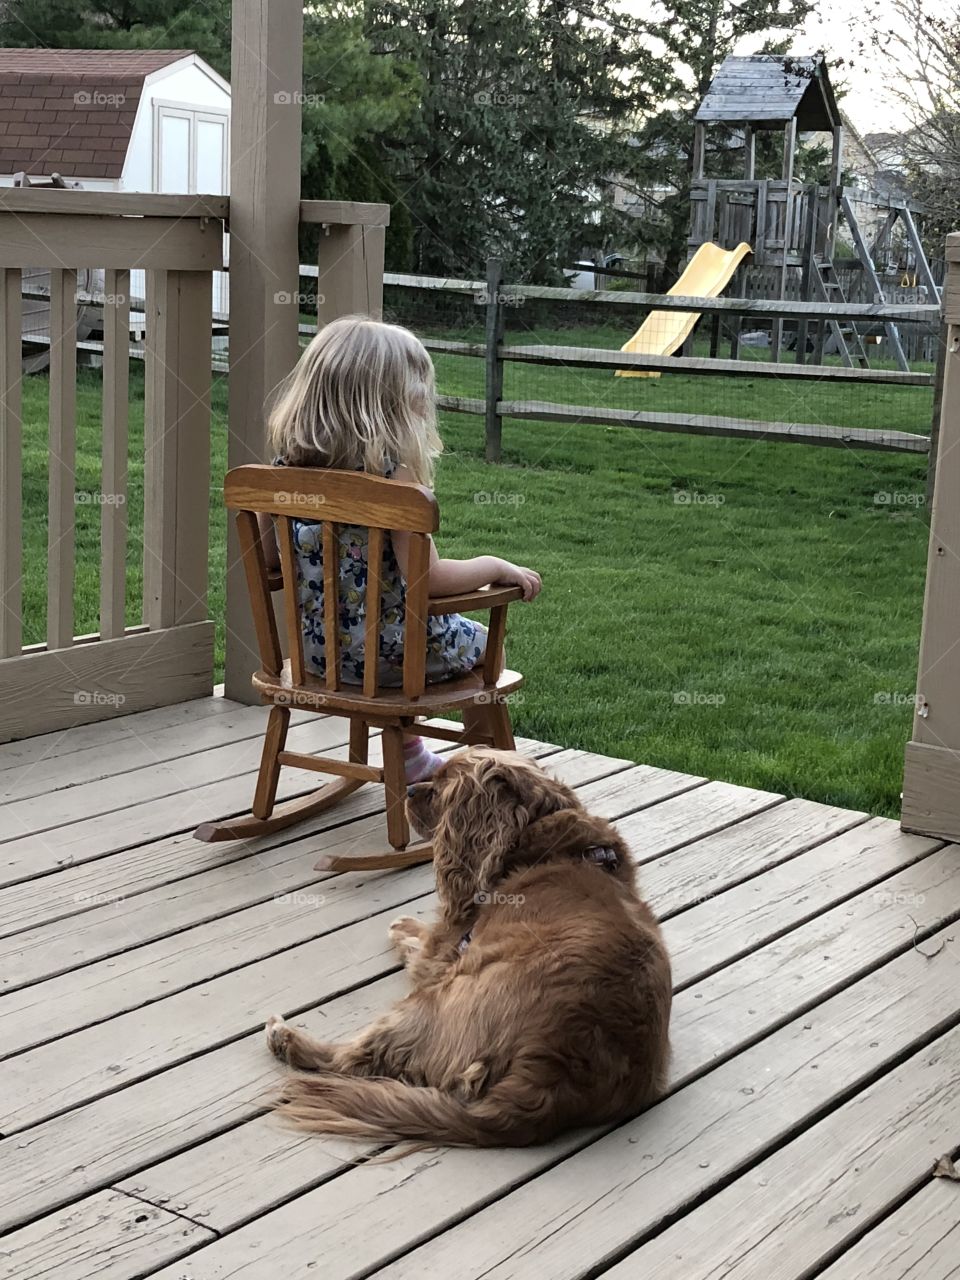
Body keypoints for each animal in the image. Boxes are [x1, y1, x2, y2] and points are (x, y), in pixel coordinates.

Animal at [261, 747, 670, 1146]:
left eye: (442, 787)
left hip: (430, 1002)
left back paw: (286, 1037)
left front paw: (403, 926)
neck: (540, 836)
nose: (410, 790)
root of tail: (550, 1076)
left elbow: (423, 941)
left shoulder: (446, 948)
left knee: (353, 1059)